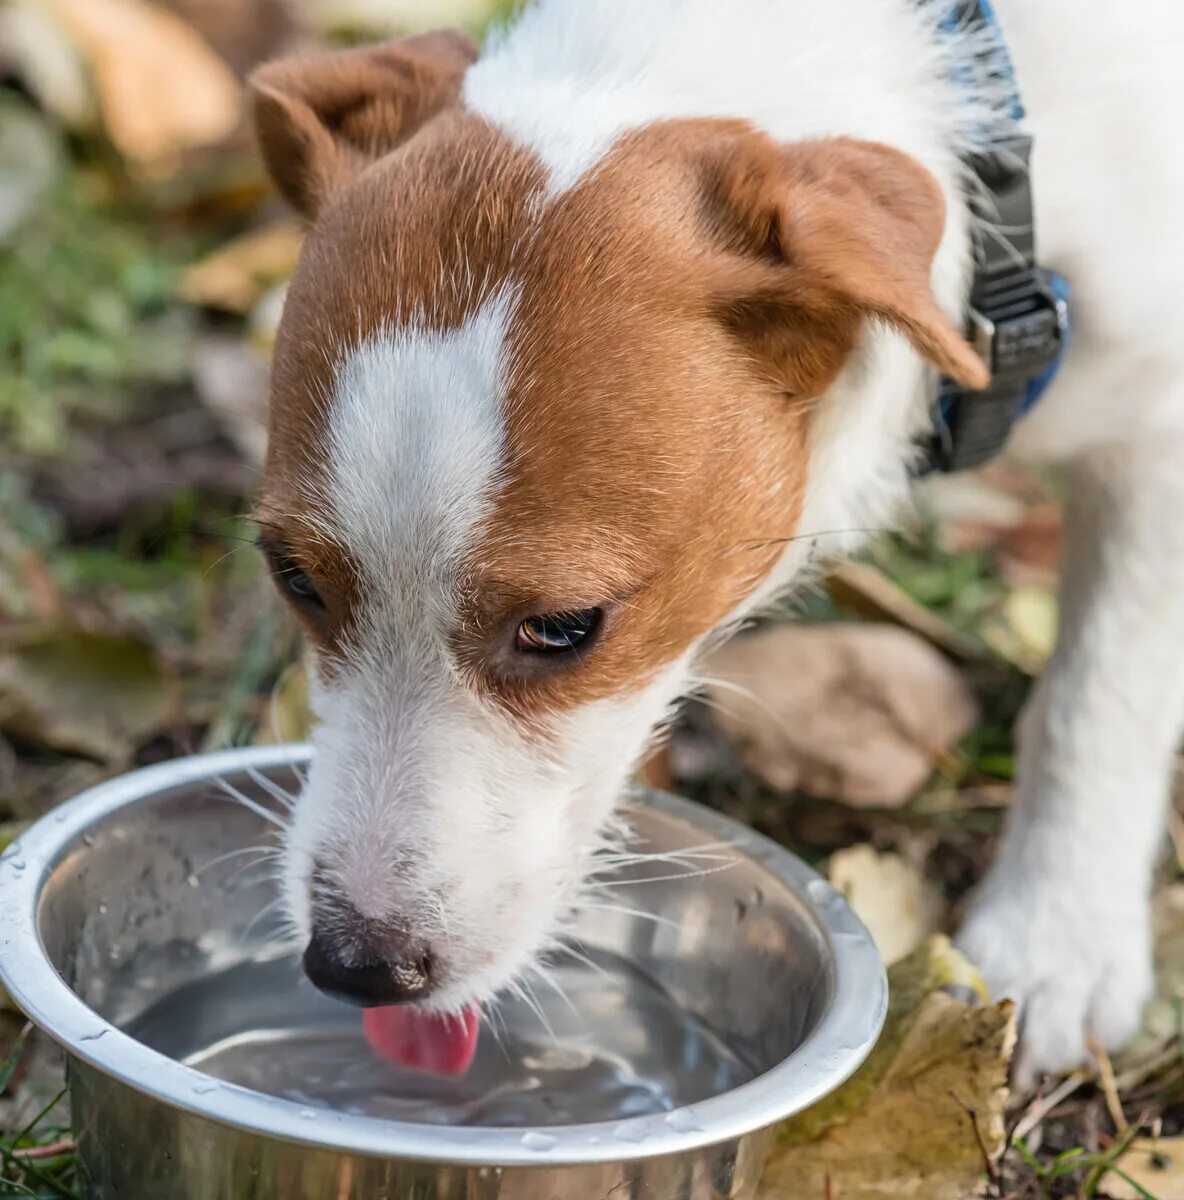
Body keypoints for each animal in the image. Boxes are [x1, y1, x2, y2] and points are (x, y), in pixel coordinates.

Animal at [247, 0, 1184, 1084]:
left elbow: (1099, 695)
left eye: (564, 627)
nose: (355, 966)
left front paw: (1055, 935)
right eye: (292, 577)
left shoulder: (1156, 447)